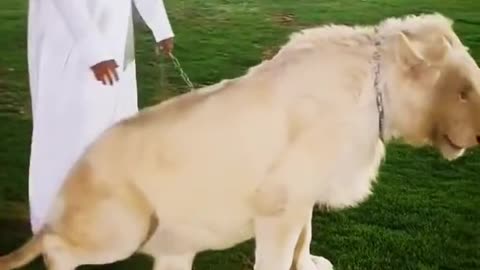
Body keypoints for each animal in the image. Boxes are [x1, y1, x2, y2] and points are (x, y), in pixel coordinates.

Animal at [0, 12, 480, 270]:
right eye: (462, 91)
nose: (477, 133)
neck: (376, 93)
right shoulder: (278, 204)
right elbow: (279, 252)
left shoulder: (302, 196)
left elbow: (304, 239)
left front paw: (309, 264)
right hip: (124, 226)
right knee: (56, 245)